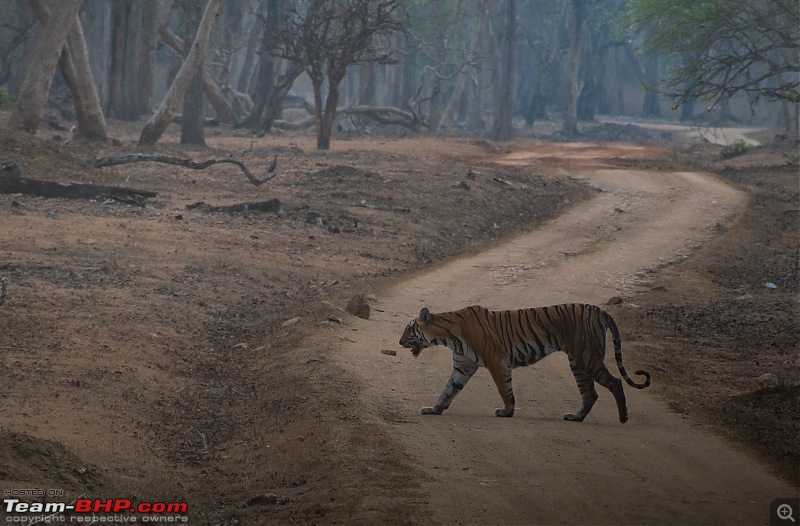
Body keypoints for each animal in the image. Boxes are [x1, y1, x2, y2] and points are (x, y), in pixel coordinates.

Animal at [400, 306, 648, 424]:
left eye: (408, 329)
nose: (399, 342)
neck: (448, 336)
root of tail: (599, 310)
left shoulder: (497, 361)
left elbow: (505, 390)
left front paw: (507, 411)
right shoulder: (463, 366)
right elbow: (448, 390)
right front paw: (434, 409)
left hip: (587, 357)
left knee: (615, 382)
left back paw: (623, 417)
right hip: (578, 362)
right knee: (590, 394)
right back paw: (575, 417)